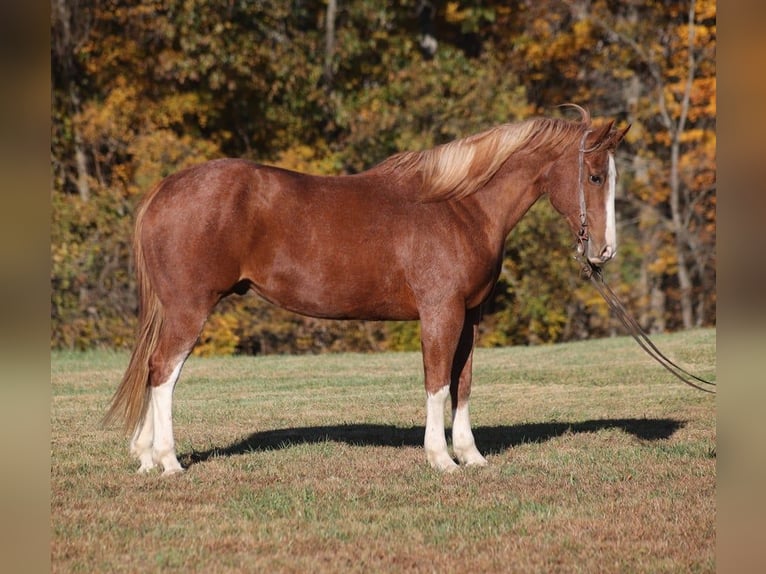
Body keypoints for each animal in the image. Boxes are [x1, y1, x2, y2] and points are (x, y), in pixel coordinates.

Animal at [103, 108, 632, 476]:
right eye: (594, 176)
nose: (605, 251)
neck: (460, 207)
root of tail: (164, 190)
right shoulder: (440, 313)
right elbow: (437, 382)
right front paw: (441, 459)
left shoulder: (470, 316)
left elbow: (462, 383)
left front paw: (471, 455)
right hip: (189, 309)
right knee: (163, 372)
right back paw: (169, 461)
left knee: (154, 368)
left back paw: (147, 458)